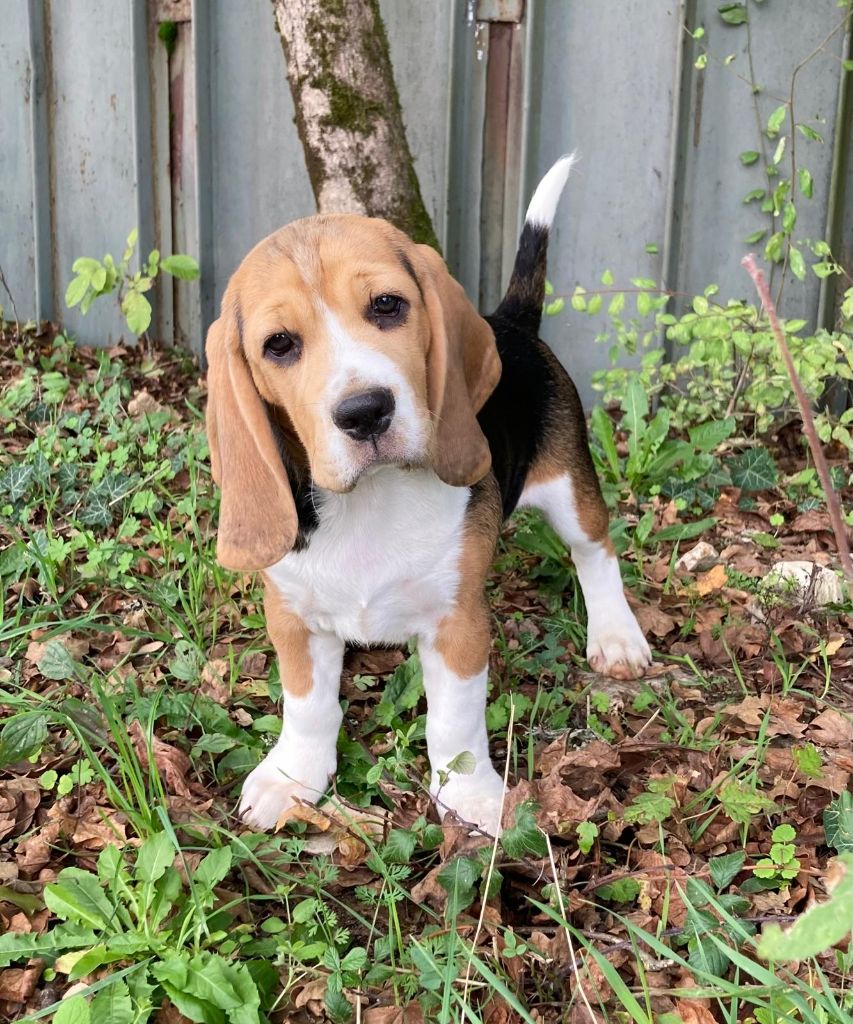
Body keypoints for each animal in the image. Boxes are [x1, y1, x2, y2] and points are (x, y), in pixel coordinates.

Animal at [205, 156, 651, 835]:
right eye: (278, 344)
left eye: (388, 306)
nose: (365, 411)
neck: (367, 503)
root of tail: (509, 319)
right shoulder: (292, 618)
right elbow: (307, 709)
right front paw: (291, 777)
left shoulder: (457, 622)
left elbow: (455, 725)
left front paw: (470, 797)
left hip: (569, 485)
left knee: (594, 550)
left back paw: (616, 636)